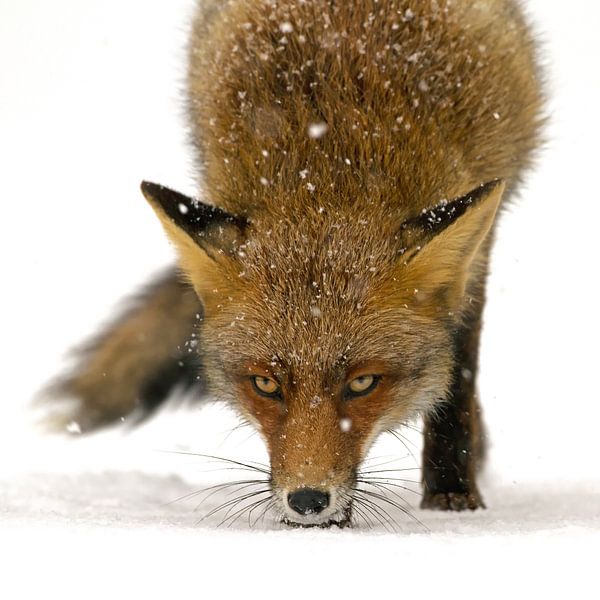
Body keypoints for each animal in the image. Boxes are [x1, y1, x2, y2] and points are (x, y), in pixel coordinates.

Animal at [45, 0, 544, 524]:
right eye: (265, 384)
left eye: (363, 383)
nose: (307, 501)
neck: (331, 152)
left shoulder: (477, 251)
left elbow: (458, 379)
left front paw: (452, 495)